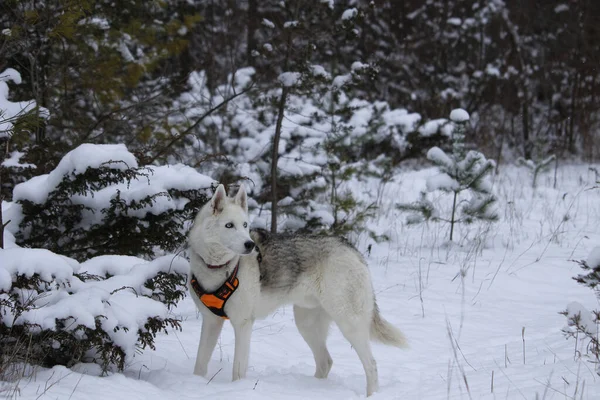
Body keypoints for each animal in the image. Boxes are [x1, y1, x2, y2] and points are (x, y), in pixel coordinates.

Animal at [189, 184, 408, 396]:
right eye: (229, 225)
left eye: (245, 225)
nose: (250, 245)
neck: (219, 267)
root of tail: (351, 248)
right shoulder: (211, 322)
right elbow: (199, 364)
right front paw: (196, 383)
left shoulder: (243, 324)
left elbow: (238, 370)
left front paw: (237, 388)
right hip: (307, 324)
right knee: (325, 361)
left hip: (348, 323)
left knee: (371, 365)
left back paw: (371, 393)